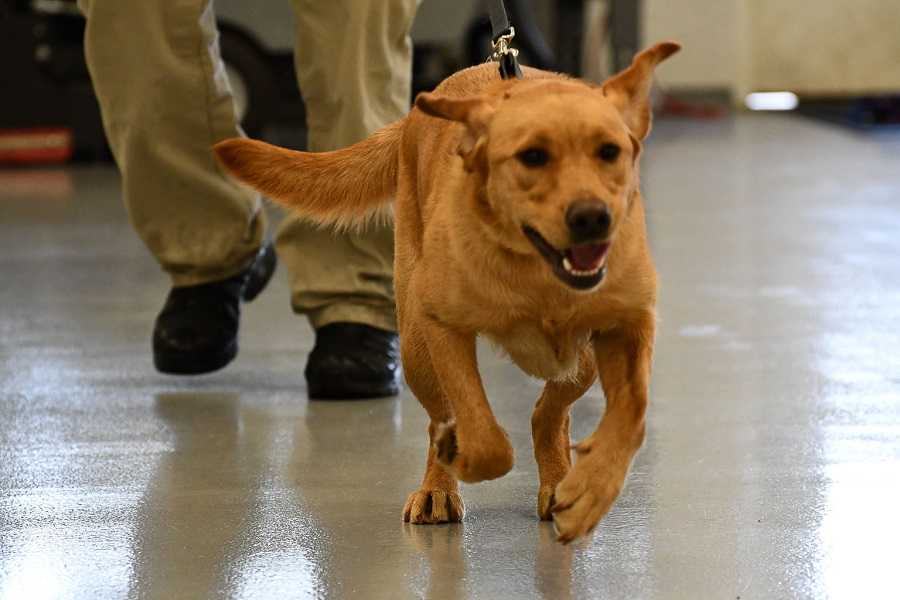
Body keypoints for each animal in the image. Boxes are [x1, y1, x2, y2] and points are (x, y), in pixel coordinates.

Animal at [218, 39, 680, 540]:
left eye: (609, 151)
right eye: (532, 157)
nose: (592, 217)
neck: (538, 275)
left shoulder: (627, 326)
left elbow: (630, 416)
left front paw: (592, 489)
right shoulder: (442, 328)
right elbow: (478, 428)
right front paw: (461, 452)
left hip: (582, 360)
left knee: (550, 413)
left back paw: (557, 479)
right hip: (415, 347)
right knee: (444, 414)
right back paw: (438, 485)